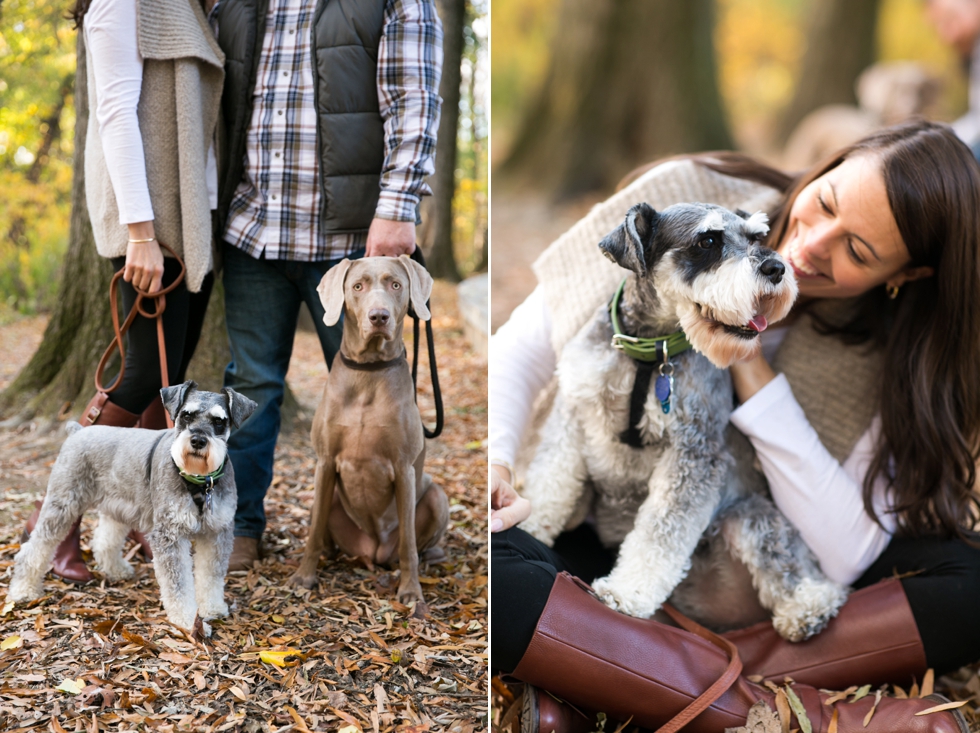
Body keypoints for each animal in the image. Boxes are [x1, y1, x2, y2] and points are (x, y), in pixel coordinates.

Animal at [9, 380, 255, 632]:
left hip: (118, 504)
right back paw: (24, 590)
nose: (197, 441)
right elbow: (178, 586)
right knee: (34, 548)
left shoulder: (217, 533)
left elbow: (211, 576)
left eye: (219, 421)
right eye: (186, 415)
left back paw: (116, 569)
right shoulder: (169, 535)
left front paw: (213, 608)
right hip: (64, 504)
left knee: (104, 540)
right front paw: (188, 621)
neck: (199, 481)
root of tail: (78, 431)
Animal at [288, 253, 448, 608]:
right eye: (358, 286)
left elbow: (408, 544)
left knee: (418, 544)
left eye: (396, 285)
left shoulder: (403, 468)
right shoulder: (324, 462)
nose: (379, 316)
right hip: (328, 497)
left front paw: (411, 591)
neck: (368, 374)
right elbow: (313, 531)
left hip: (436, 496)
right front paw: (304, 577)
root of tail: (372, 552)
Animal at [520, 202, 848, 640]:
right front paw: (526, 527)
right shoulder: (572, 415)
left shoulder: (694, 453)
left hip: (748, 516)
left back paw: (808, 608)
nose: (777, 268)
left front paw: (628, 592)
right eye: (707, 241)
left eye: (755, 237)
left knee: (797, 569)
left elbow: (661, 532)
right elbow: (550, 481)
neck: (649, 351)